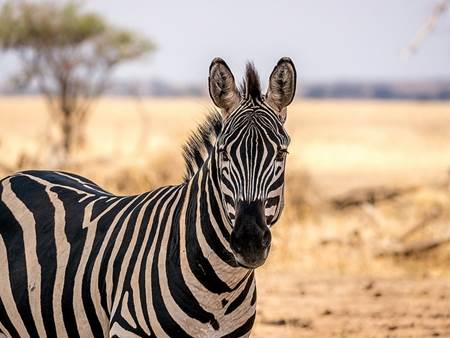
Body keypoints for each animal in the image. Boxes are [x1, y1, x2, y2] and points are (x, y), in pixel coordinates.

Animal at [0, 56, 298, 336]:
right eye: (223, 153)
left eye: (281, 154)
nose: (249, 242)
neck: (221, 289)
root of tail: (20, 175)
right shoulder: (127, 329)